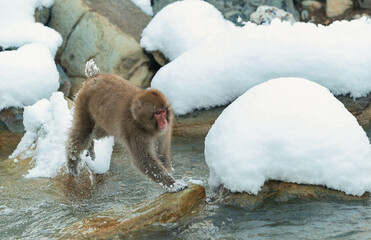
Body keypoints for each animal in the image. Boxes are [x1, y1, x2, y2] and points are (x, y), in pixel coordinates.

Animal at [66, 60, 189, 193]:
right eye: (157, 113)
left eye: (164, 111)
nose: (164, 122)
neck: (139, 120)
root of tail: (95, 76)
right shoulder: (134, 131)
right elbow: (143, 159)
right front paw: (174, 184)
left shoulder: (164, 132)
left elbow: (162, 155)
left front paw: (171, 180)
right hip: (83, 104)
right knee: (82, 133)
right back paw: (72, 163)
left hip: (104, 120)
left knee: (96, 133)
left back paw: (91, 144)